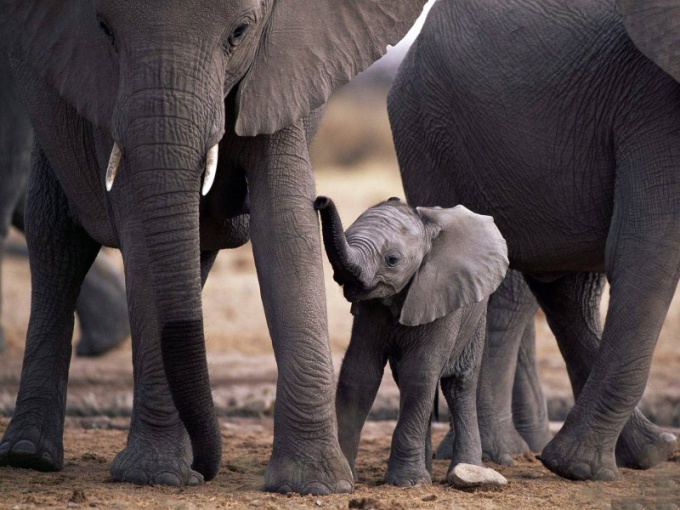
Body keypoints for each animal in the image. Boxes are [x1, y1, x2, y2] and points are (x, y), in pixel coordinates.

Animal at [318, 197, 510, 488]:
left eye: (392, 260)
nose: (320, 200)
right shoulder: (371, 308)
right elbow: (359, 374)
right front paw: (349, 478)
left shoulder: (441, 293)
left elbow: (419, 373)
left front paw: (407, 483)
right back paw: (427, 473)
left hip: (476, 317)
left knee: (458, 385)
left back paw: (465, 469)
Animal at [382, 0, 680, 482]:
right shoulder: (654, 101)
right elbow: (650, 252)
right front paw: (575, 470)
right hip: (429, 132)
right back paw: (515, 460)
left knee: (568, 288)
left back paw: (648, 451)